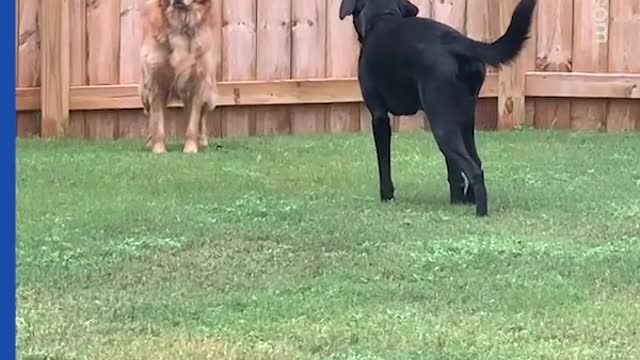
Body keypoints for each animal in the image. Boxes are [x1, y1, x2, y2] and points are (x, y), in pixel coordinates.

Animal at [138, 0, 216, 153]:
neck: (180, 23)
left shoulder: (198, 83)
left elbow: (193, 122)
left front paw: (191, 148)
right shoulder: (156, 83)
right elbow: (157, 121)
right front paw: (158, 149)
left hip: (207, 91)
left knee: (201, 117)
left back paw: (202, 141)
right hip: (144, 92)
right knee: (151, 117)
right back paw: (149, 141)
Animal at [340, 0, 536, 217]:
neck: (381, 17)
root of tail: (457, 41)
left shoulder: (379, 116)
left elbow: (384, 162)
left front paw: (387, 196)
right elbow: (453, 171)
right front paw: (457, 200)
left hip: (442, 126)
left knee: (473, 169)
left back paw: (481, 212)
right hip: (464, 121)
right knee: (476, 163)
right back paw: (469, 200)